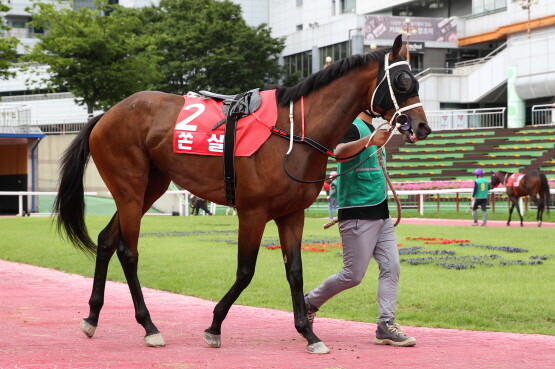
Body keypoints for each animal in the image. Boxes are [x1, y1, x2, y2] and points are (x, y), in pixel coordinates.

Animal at [54, 35, 432, 354]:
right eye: (403, 81)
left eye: (415, 81)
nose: (423, 126)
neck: (292, 133)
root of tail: (106, 114)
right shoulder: (253, 213)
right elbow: (246, 271)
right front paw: (214, 326)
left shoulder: (291, 214)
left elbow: (295, 271)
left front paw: (308, 333)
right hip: (130, 188)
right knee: (127, 251)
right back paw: (149, 327)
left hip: (150, 187)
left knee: (106, 240)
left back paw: (92, 317)